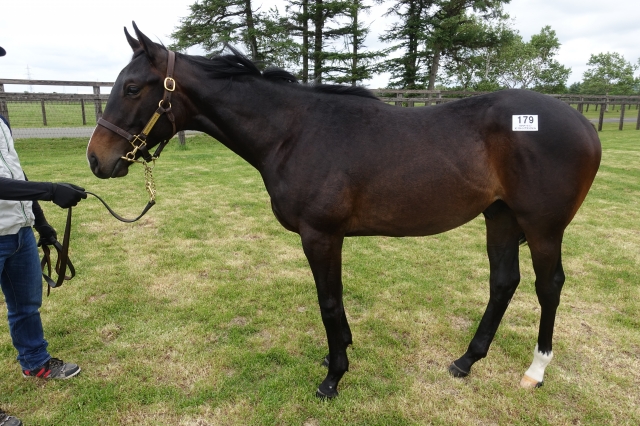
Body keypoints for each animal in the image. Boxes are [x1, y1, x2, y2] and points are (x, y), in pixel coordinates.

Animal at [87, 23, 601, 398]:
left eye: (132, 88)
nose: (96, 159)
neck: (294, 132)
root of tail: (583, 123)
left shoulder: (320, 235)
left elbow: (329, 302)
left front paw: (333, 377)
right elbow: (335, 301)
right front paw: (341, 355)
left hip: (542, 227)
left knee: (549, 287)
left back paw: (535, 370)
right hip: (500, 217)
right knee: (503, 283)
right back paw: (465, 360)